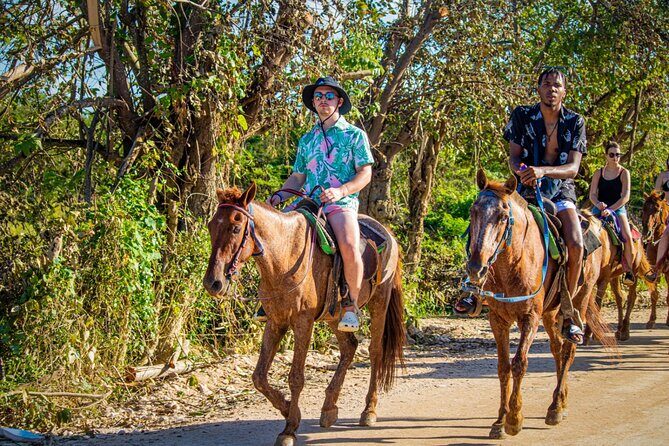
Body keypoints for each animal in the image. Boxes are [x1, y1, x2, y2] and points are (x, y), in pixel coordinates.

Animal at [202, 183, 405, 446]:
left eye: (236, 228)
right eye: (211, 226)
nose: (213, 283)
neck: (285, 256)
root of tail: (388, 233)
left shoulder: (302, 322)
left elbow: (296, 377)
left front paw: (289, 428)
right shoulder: (276, 322)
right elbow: (259, 377)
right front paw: (289, 410)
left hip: (379, 301)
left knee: (374, 351)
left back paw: (368, 410)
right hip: (334, 315)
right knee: (349, 346)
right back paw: (329, 408)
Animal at [466, 169, 614, 439]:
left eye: (503, 216)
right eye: (474, 211)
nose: (476, 268)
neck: (512, 263)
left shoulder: (530, 318)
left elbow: (519, 363)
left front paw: (514, 419)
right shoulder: (498, 320)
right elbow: (503, 367)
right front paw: (499, 421)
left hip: (580, 299)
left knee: (568, 350)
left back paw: (555, 407)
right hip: (551, 311)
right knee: (557, 349)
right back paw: (561, 402)